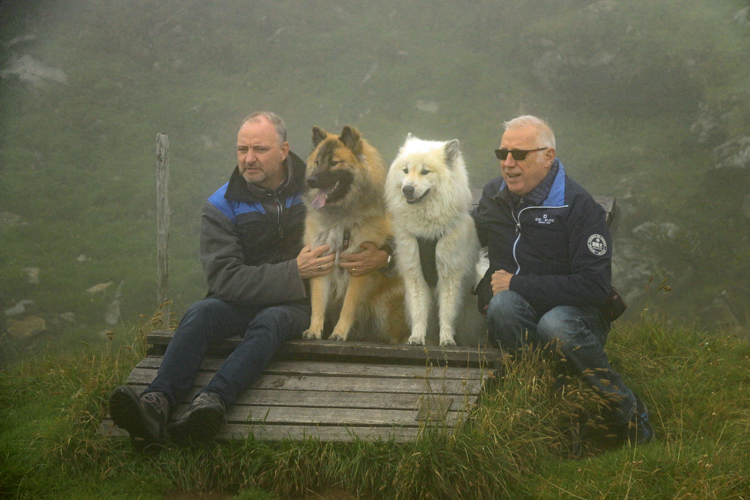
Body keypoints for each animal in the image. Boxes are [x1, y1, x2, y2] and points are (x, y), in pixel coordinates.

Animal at [384, 135, 484, 346]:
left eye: (425, 171)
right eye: (405, 170)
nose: (407, 189)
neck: (427, 231)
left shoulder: (450, 275)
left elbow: (447, 311)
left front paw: (446, 339)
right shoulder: (415, 274)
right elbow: (419, 309)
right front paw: (416, 337)